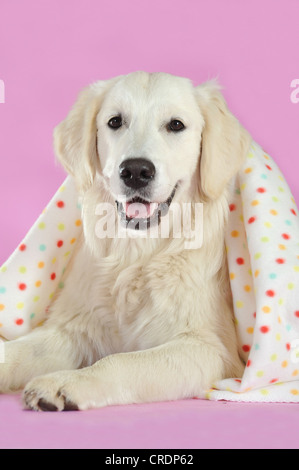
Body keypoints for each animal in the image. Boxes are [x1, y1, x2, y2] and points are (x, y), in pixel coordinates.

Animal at [0, 71, 252, 410]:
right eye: (115, 122)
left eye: (176, 125)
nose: (135, 171)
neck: (136, 258)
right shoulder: (75, 328)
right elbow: (17, 350)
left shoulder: (210, 349)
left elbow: (119, 361)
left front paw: (65, 383)